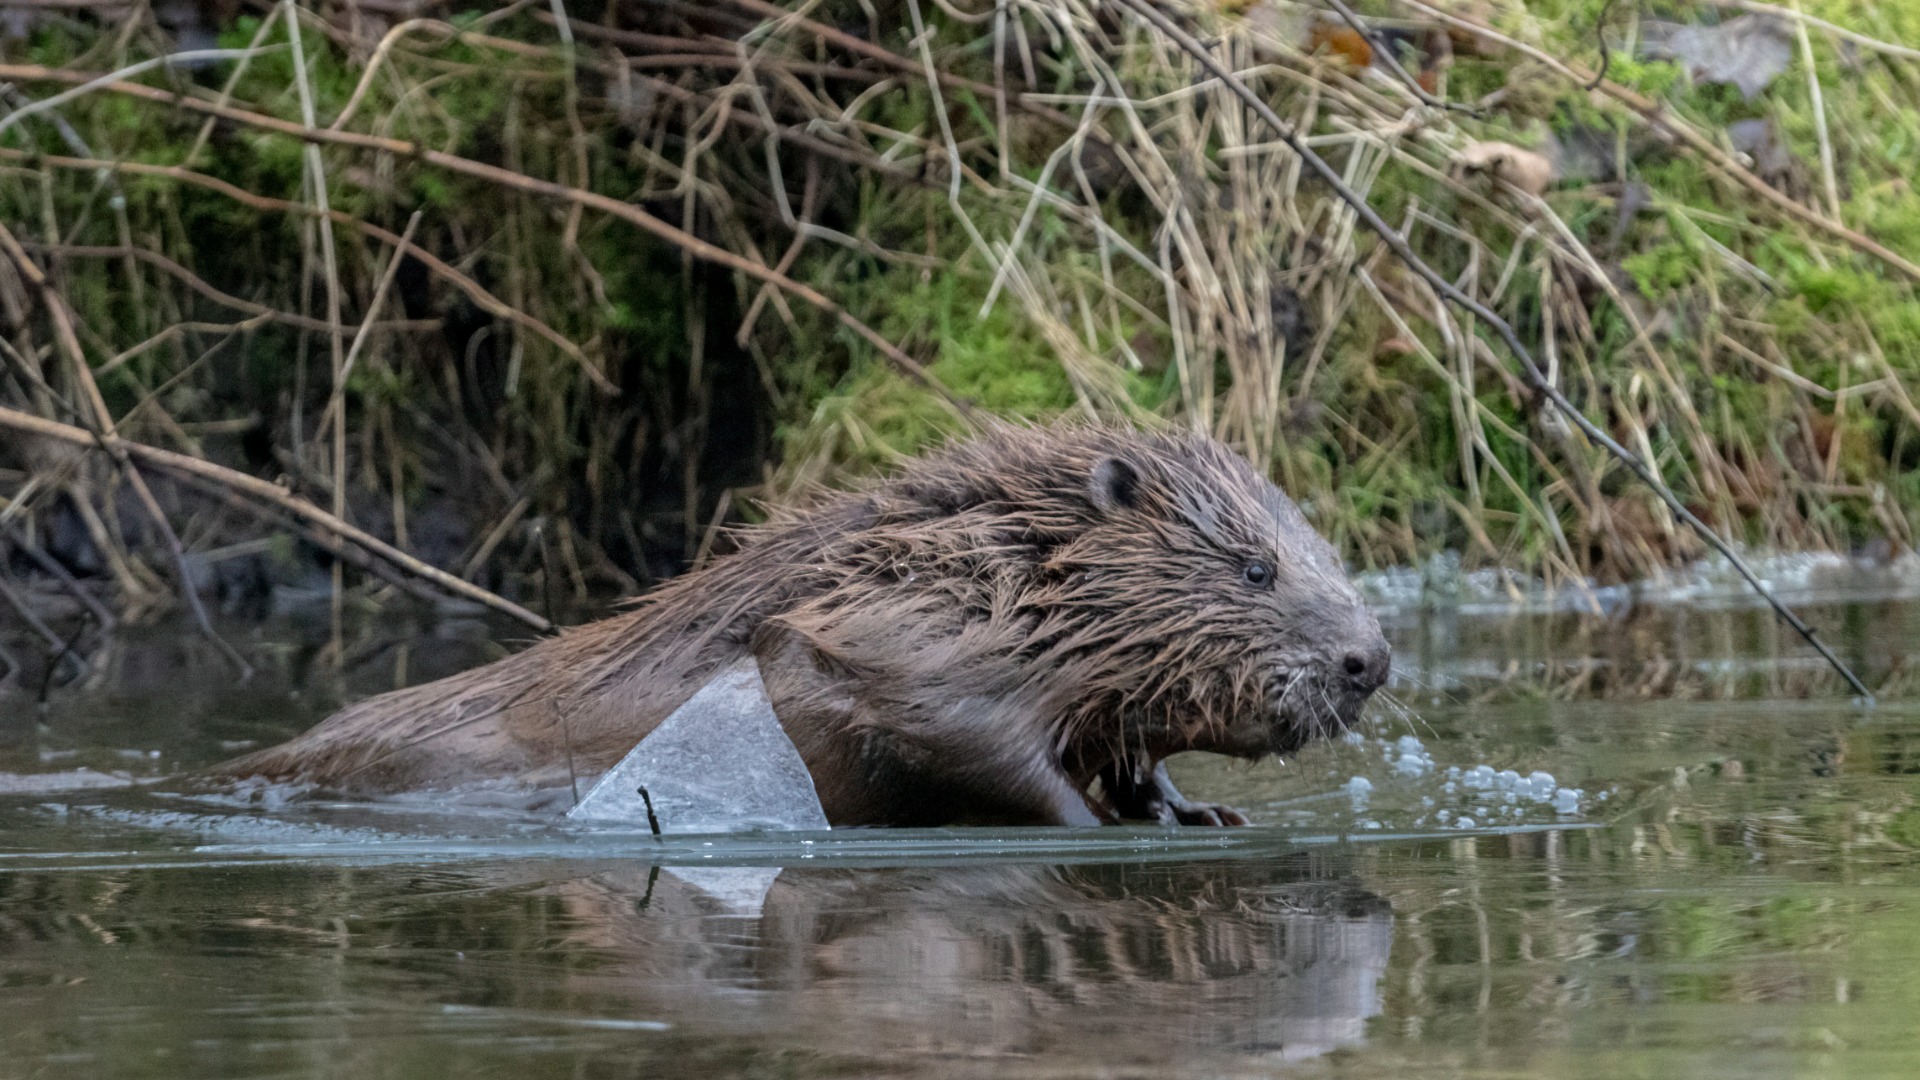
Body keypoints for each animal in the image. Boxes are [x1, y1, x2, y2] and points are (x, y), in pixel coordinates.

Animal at [217, 422, 1390, 822]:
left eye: (1330, 556)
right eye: (1254, 567)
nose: (1369, 660)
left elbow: (1125, 745)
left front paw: (1195, 813)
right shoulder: (896, 638)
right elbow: (971, 741)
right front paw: (1098, 823)